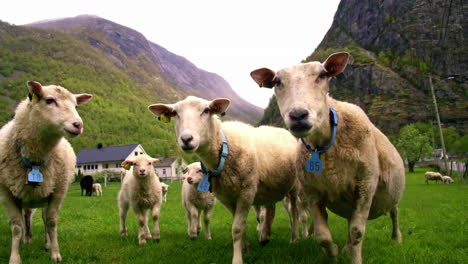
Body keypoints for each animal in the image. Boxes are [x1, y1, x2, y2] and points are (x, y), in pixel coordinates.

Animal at [0, 81, 93, 262]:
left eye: (75, 105)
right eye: (49, 100)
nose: (78, 125)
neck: (34, 159)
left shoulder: (58, 191)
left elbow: (51, 222)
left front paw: (55, 253)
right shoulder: (6, 192)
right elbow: (16, 226)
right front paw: (15, 257)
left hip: (45, 193)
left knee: (42, 219)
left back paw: (47, 243)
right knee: (26, 217)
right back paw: (26, 239)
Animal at [148, 96, 300, 264]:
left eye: (206, 110)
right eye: (175, 113)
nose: (186, 139)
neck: (223, 151)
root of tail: (281, 130)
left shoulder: (246, 192)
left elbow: (237, 228)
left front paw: (237, 259)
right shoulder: (226, 198)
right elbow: (240, 226)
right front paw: (245, 248)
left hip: (294, 187)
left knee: (294, 212)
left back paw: (294, 238)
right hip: (269, 187)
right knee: (271, 210)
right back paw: (265, 237)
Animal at [250, 51, 408, 264]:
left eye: (323, 75)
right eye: (277, 81)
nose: (298, 115)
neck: (323, 146)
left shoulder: (366, 185)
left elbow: (358, 232)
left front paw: (354, 258)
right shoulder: (312, 192)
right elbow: (323, 236)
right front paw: (332, 252)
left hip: (391, 193)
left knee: (394, 213)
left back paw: (396, 238)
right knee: (351, 221)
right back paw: (347, 248)